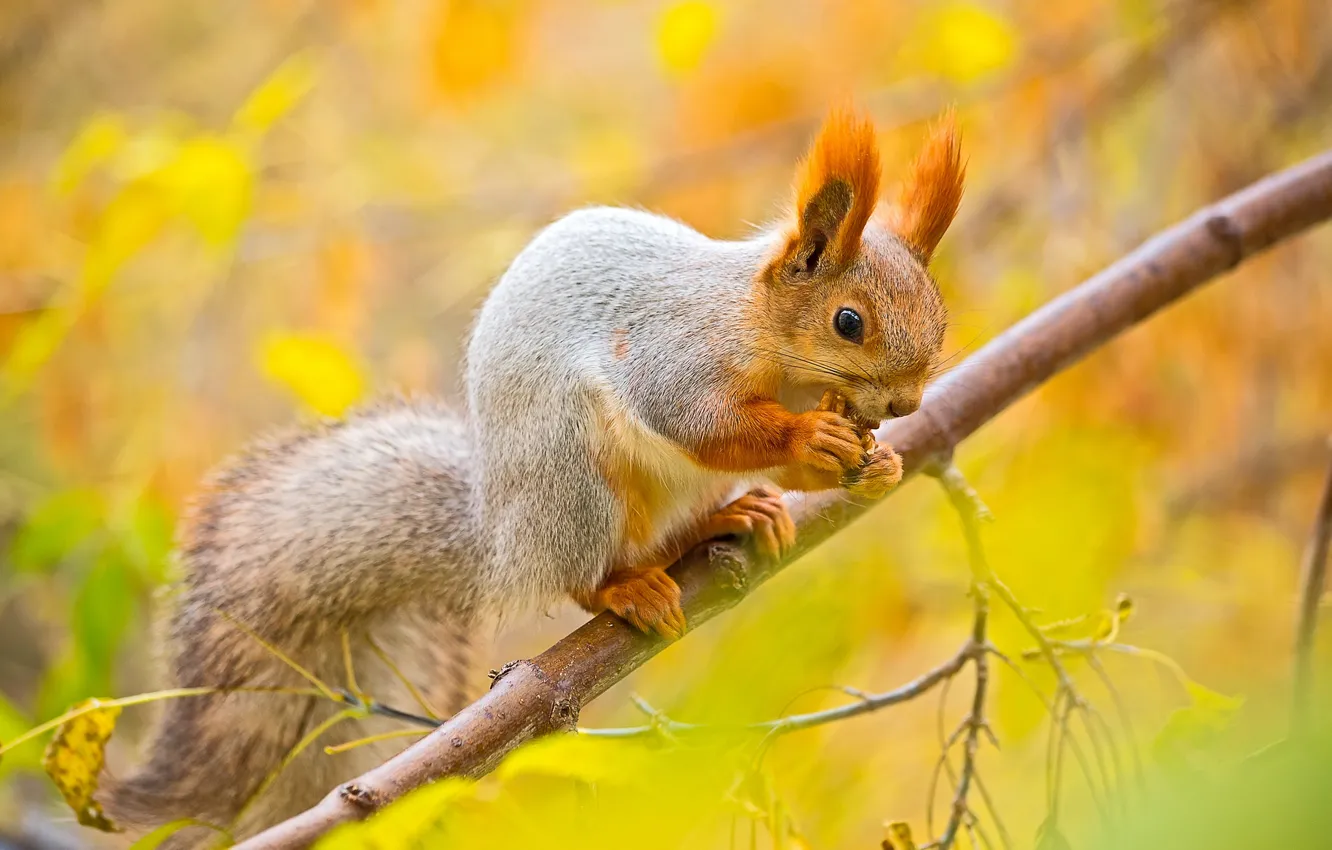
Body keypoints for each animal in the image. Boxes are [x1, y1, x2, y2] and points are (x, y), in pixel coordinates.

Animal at [99, 107, 964, 844]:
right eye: (848, 322)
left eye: (939, 314)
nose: (907, 403)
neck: (773, 348)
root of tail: (503, 538)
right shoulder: (674, 355)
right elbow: (698, 421)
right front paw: (813, 436)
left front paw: (880, 461)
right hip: (572, 478)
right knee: (579, 573)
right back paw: (625, 588)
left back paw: (735, 518)